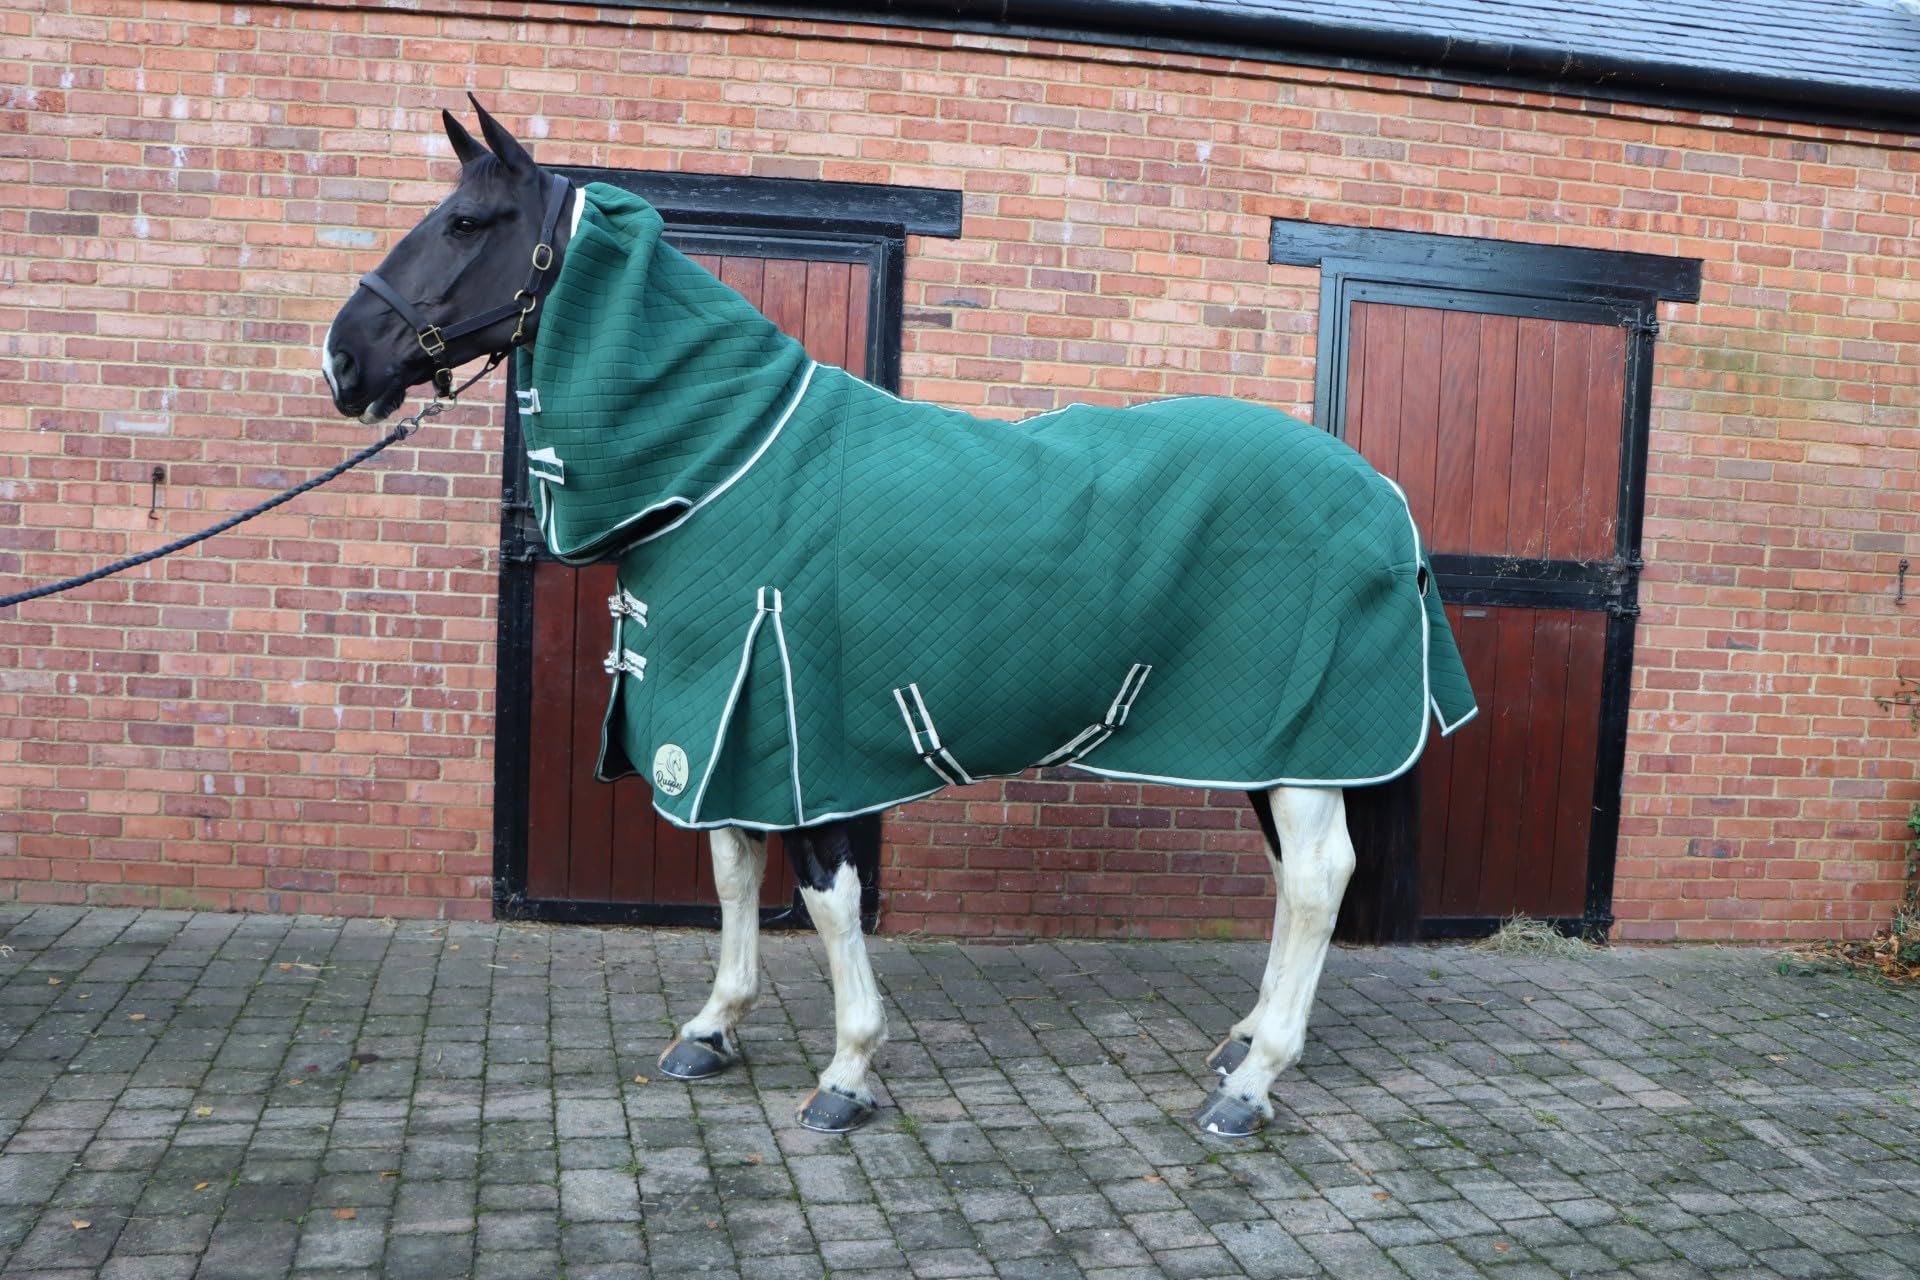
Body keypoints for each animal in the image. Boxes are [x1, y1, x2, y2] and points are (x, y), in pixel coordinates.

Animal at [322, 99, 1477, 1138]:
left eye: (468, 222)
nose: (342, 360)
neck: (721, 464)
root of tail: (1383, 491)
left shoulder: (793, 731)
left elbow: (827, 899)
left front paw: (846, 1073)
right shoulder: (715, 728)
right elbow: (731, 871)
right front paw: (713, 1028)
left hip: (1303, 737)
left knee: (1319, 878)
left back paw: (1250, 1084)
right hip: (1267, 743)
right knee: (1292, 878)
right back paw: (1241, 1048)